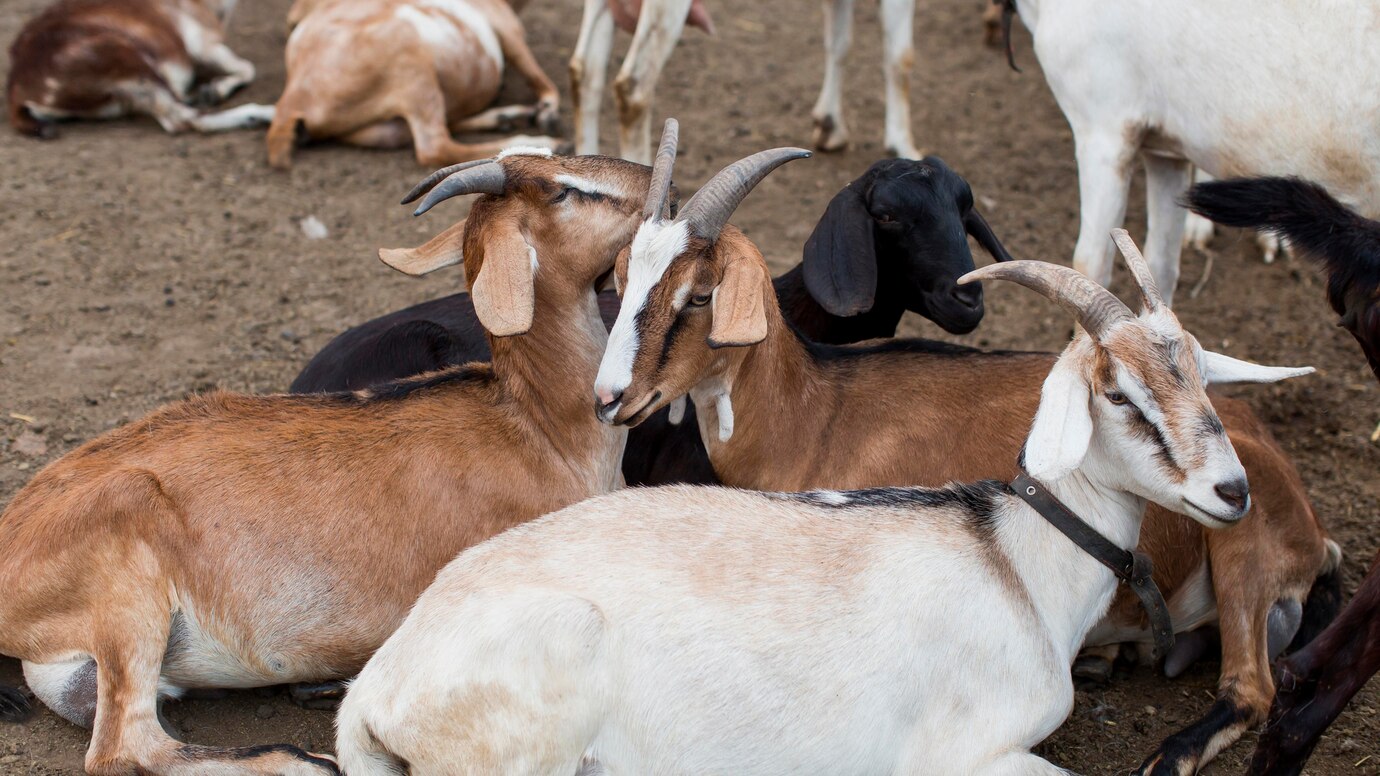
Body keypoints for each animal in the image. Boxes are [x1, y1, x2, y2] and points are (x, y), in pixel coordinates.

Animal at [0, 147, 662, 767]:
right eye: (563, 190)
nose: (652, 178)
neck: (538, 429)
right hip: (127, 578)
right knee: (124, 746)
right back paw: (301, 760)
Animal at [6, 0, 271, 137]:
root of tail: (17, 93)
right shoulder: (201, 43)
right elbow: (246, 66)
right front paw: (214, 91)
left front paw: (211, 90)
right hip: (127, 59)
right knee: (183, 120)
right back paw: (266, 114)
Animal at [339, 230, 1308, 773]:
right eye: (1118, 392)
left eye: (1201, 376)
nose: (1231, 492)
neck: (1016, 563)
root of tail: (377, 688)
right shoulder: (961, 754)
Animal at [565, 0, 921, 160]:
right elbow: (900, 58)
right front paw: (904, 145)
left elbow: (840, 43)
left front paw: (830, 125)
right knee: (633, 88)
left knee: (585, 71)